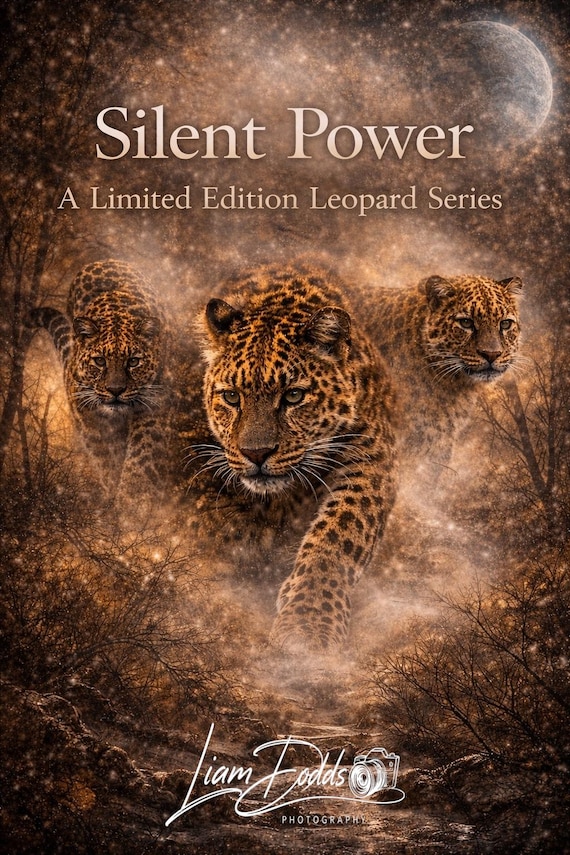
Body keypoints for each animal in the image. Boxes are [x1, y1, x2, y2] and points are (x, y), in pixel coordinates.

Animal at [31, 260, 169, 505]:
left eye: (133, 361)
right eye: (99, 361)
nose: (115, 390)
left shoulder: (153, 404)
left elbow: (141, 454)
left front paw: (132, 500)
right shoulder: (88, 419)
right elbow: (107, 461)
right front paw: (116, 496)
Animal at [180, 266, 397, 653]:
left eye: (293, 396)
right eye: (231, 397)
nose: (256, 453)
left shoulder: (371, 455)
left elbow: (340, 532)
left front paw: (308, 624)